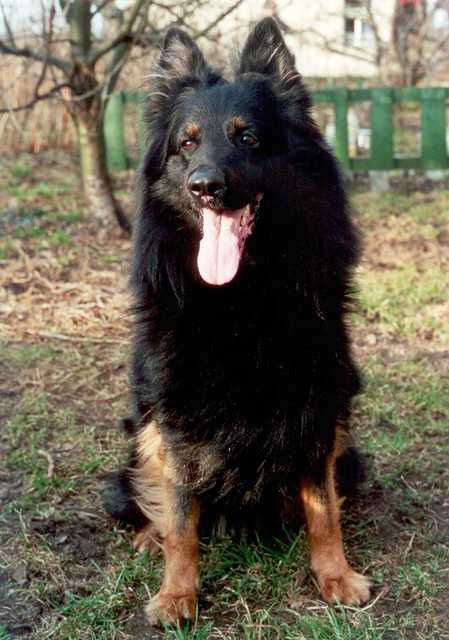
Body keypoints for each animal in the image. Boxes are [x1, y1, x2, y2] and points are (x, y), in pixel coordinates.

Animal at [104, 17, 371, 625]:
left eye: (247, 137)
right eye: (187, 143)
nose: (205, 186)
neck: (242, 298)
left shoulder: (316, 402)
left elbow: (323, 506)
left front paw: (335, 574)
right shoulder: (177, 414)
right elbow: (182, 514)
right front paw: (177, 592)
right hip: (142, 431)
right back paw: (150, 535)